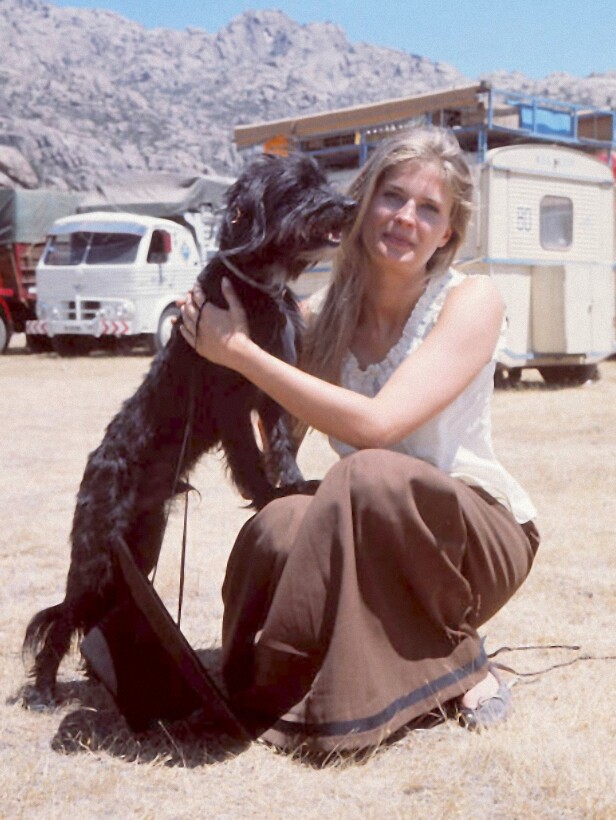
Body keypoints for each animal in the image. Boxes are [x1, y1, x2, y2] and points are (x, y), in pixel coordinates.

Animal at [23, 153, 356, 704]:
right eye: (298, 186)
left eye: (323, 180)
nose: (348, 205)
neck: (256, 284)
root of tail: (96, 465)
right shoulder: (230, 402)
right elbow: (250, 459)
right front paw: (270, 495)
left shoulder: (270, 389)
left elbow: (280, 444)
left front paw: (294, 483)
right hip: (98, 554)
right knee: (64, 616)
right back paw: (47, 685)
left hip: (141, 547)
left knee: (104, 611)